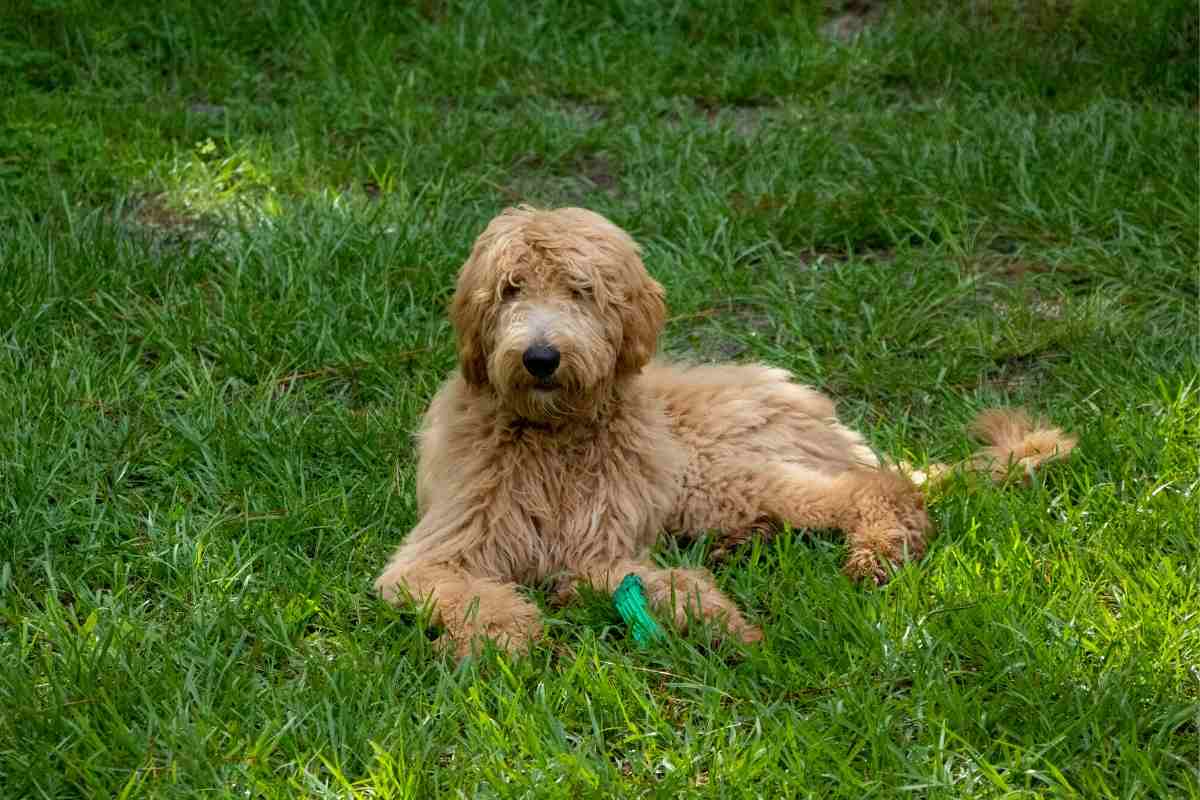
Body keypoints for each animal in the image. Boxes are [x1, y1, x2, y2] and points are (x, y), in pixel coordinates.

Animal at [369, 205, 1075, 657]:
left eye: (580, 290)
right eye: (510, 288)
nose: (541, 358)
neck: (552, 437)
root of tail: (804, 401)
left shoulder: (602, 543)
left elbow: (653, 583)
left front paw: (716, 623)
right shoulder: (441, 552)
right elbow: (468, 591)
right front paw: (508, 633)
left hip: (714, 475)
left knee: (877, 491)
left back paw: (873, 552)